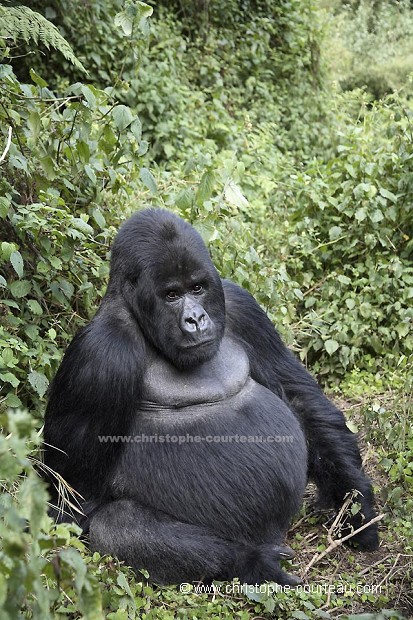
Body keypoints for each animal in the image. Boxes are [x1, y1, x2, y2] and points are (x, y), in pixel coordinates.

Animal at [43, 208, 378, 588]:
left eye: (197, 288)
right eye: (171, 295)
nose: (196, 319)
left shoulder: (241, 304)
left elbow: (299, 398)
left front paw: (356, 506)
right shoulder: (100, 354)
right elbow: (76, 503)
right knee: (114, 524)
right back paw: (250, 561)